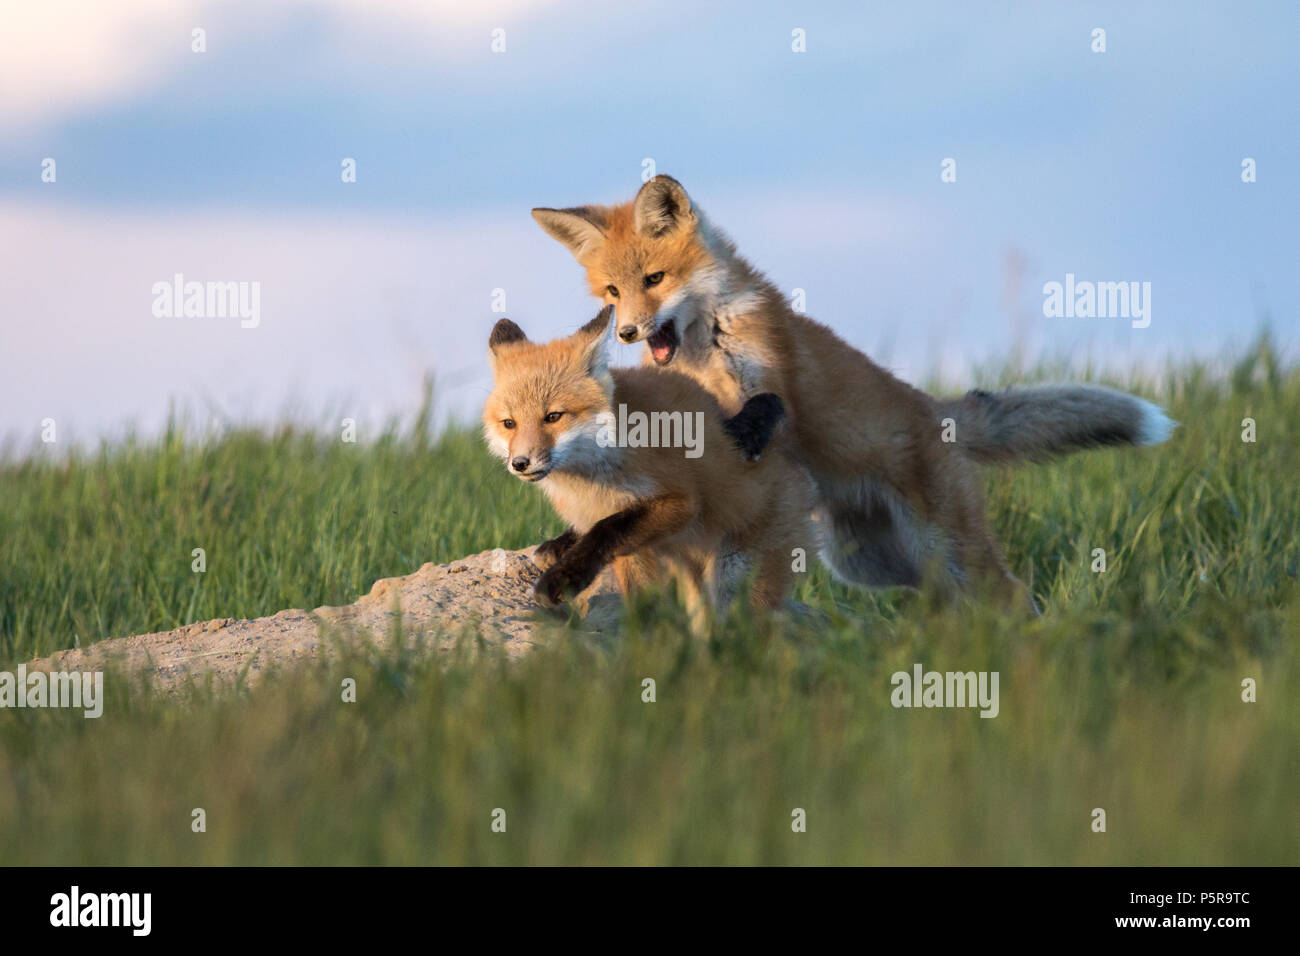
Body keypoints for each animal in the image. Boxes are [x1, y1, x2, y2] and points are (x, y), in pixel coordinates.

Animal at [483, 308, 806, 634]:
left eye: (553, 417)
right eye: (509, 423)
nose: (520, 463)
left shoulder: (679, 502)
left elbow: (607, 529)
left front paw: (561, 581)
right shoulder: (632, 545)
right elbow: (640, 599)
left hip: (735, 577)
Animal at [533, 176, 1175, 608]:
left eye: (655, 279)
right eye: (613, 292)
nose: (626, 333)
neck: (704, 350)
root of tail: (932, 407)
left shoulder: (765, 399)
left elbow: (746, 431)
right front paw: (567, 542)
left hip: (947, 547)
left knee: (1010, 593)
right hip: (871, 564)